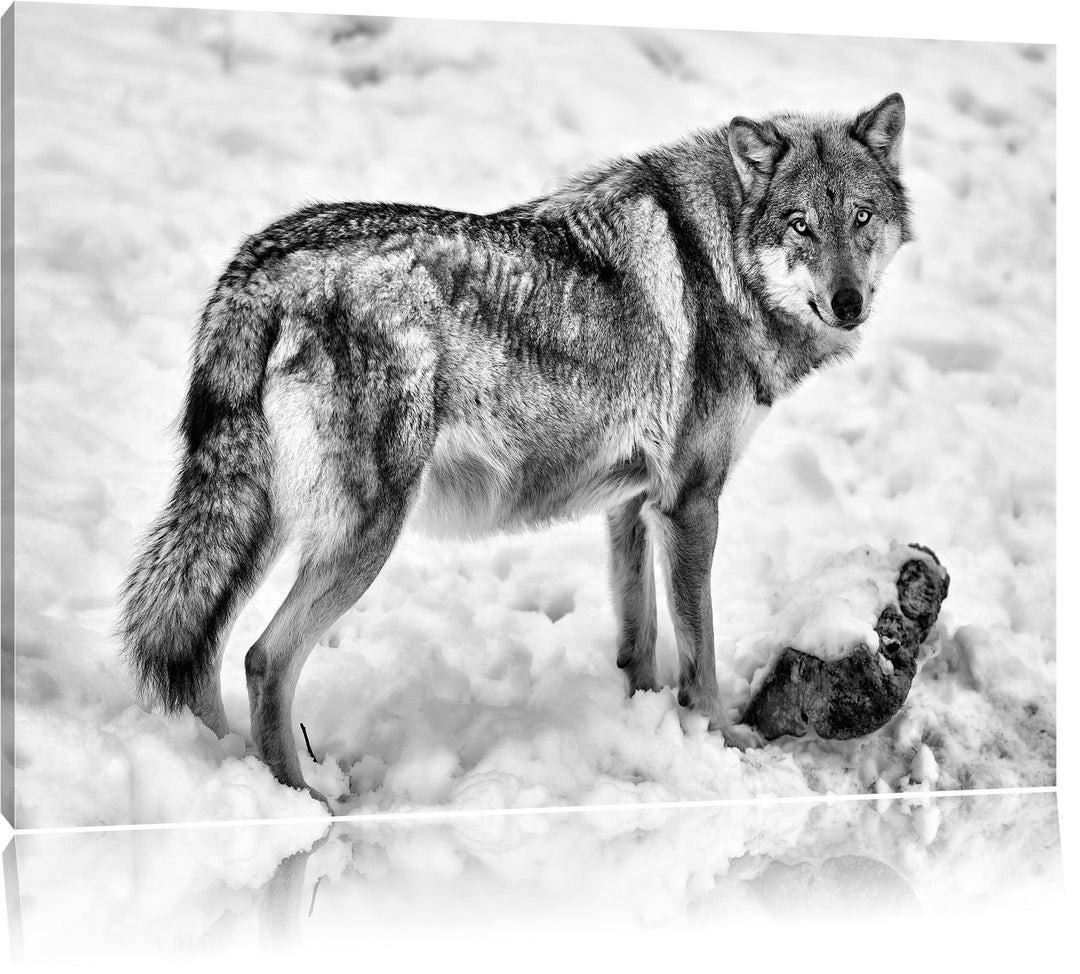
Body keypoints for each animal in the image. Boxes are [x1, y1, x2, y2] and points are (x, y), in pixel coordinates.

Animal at [120, 93, 911, 805]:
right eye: (801, 225)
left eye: (860, 217)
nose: (848, 303)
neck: (718, 263)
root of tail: (260, 267)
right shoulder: (691, 504)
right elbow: (702, 653)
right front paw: (720, 745)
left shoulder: (633, 505)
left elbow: (640, 639)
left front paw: (646, 726)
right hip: (362, 537)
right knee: (264, 659)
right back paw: (306, 803)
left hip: (261, 529)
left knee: (205, 652)